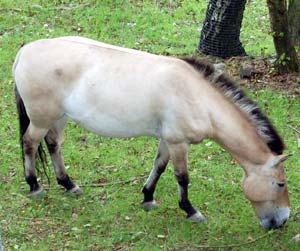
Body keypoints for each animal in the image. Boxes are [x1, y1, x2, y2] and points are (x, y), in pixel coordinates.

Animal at [13, 35, 290, 229]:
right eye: (280, 183)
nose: (283, 220)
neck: (197, 97)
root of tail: (24, 52)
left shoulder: (167, 140)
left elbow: (159, 166)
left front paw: (148, 197)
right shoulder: (178, 143)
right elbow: (182, 177)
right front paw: (191, 211)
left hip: (58, 119)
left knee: (53, 145)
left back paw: (68, 184)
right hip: (41, 120)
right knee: (29, 143)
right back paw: (34, 185)